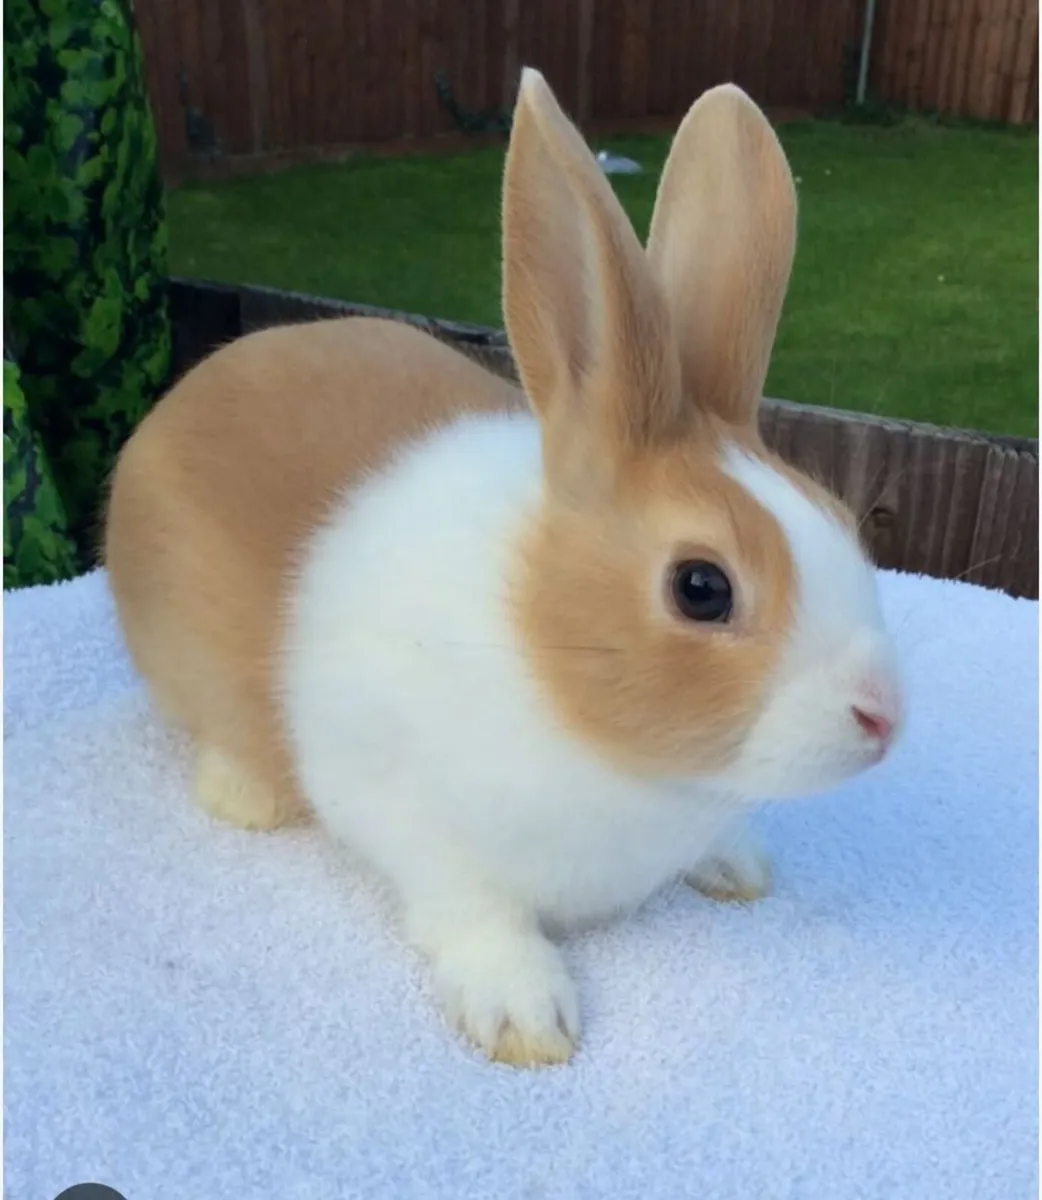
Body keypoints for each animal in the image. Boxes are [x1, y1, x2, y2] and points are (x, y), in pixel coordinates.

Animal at [104, 69, 903, 1069]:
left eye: (835, 515)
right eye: (701, 587)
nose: (883, 718)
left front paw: (736, 864)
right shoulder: (407, 816)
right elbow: (475, 914)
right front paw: (527, 1019)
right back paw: (246, 795)